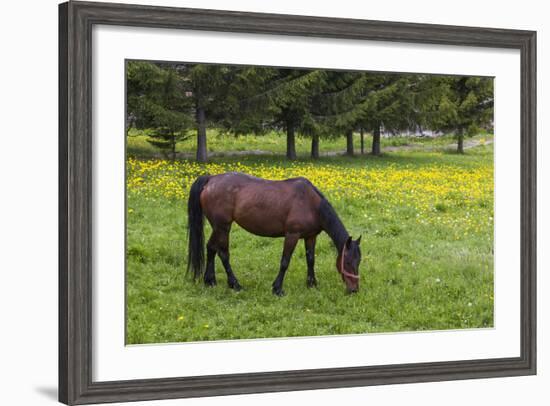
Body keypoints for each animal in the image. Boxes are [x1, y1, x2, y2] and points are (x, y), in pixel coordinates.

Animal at [188, 171, 364, 294]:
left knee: (211, 248)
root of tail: (211, 179)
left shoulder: (310, 236)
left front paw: (312, 283)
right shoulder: (292, 235)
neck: (311, 204)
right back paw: (235, 284)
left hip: (217, 227)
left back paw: (210, 280)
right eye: (348, 262)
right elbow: (285, 261)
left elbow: (311, 260)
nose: (354, 290)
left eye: (358, 262)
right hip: (223, 227)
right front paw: (277, 288)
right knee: (223, 254)